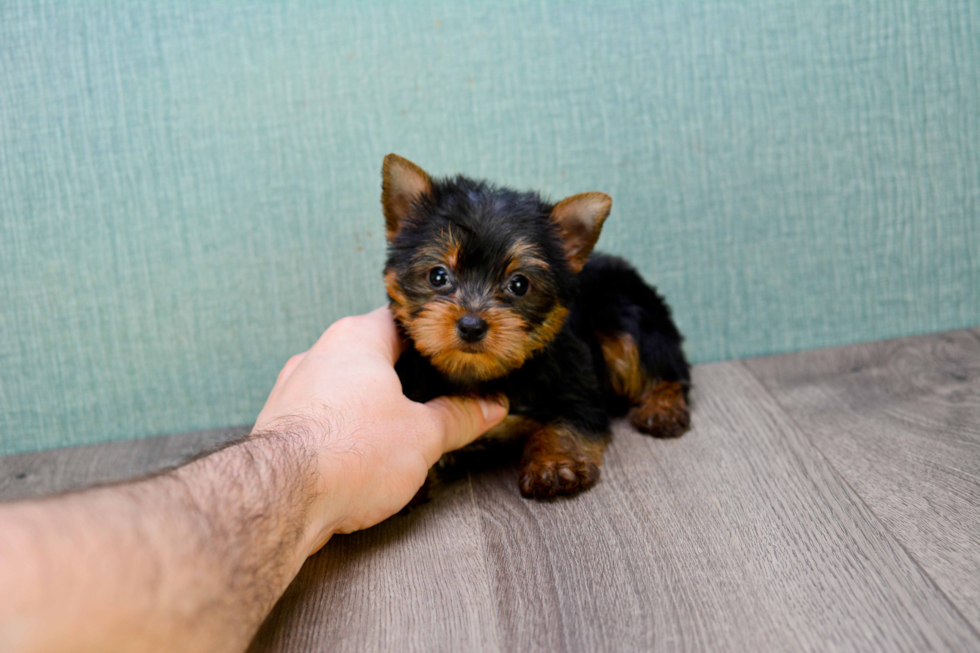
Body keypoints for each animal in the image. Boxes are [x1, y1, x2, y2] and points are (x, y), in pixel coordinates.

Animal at [378, 154, 692, 500]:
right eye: (437, 276)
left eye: (519, 284)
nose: (471, 325)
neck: (478, 374)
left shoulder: (575, 379)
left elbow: (568, 417)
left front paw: (555, 463)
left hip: (625, 313)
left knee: (664, 365)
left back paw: (662, 407)